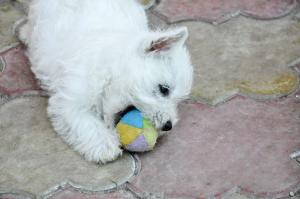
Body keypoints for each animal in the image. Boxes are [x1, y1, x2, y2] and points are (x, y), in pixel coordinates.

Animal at [18, 0, 193, 163]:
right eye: (164, 89)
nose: (168, 126)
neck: (109, 67)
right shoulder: (70, 101)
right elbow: (86, 122)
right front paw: (105, 145)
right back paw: (25, 34)